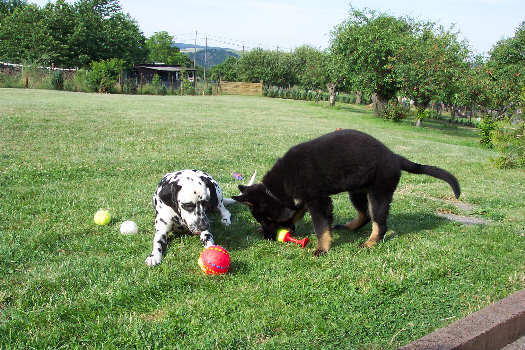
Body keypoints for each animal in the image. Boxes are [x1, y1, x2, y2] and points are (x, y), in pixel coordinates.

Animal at [230, 130, 458, 256]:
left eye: (264, 219)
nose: (267, 237)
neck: (277, 188)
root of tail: (394, 156)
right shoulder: (304, 199)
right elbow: (295, 213)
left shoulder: (318, 201)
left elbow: (321, 227)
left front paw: (322, 249)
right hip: (356, 191)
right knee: (365, 215)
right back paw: (349, 228)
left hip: (378, 194)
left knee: (379, 223)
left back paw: (369, 243)